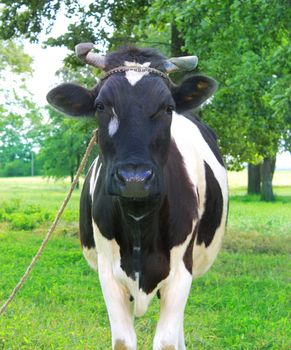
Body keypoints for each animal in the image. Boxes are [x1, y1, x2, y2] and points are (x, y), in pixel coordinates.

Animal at [47, 43, 228, 350]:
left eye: (168, 107)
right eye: (100, 106)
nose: (135, 178)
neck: (139, 221)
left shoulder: (181, 272)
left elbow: (167, 341)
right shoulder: (108, 274)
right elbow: (123, 341)